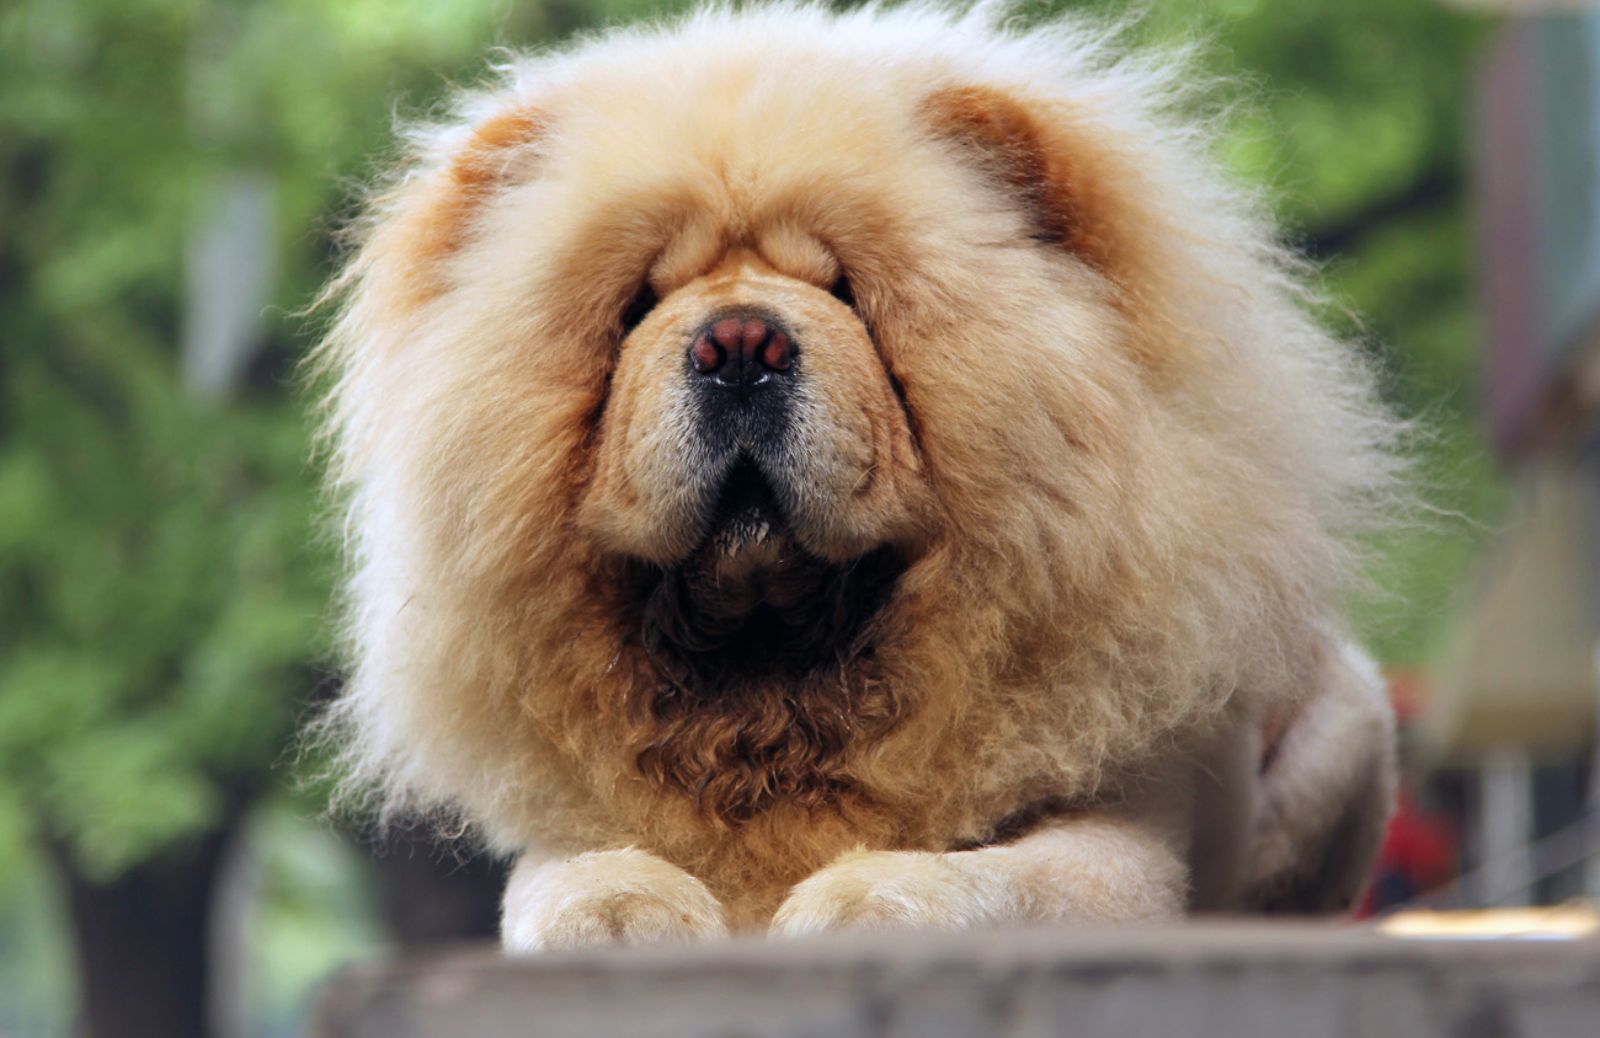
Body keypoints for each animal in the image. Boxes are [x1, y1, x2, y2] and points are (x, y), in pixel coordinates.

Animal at [308, 4, 1401, 953]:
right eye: (638, 307)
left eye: (845, 291)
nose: (737, 346)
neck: (777, 681)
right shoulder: (569, 832)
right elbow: (567, 878)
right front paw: (621, 911)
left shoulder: (1120, 835)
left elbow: (1010, 873)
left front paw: (870, 896)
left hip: (1344, 722)